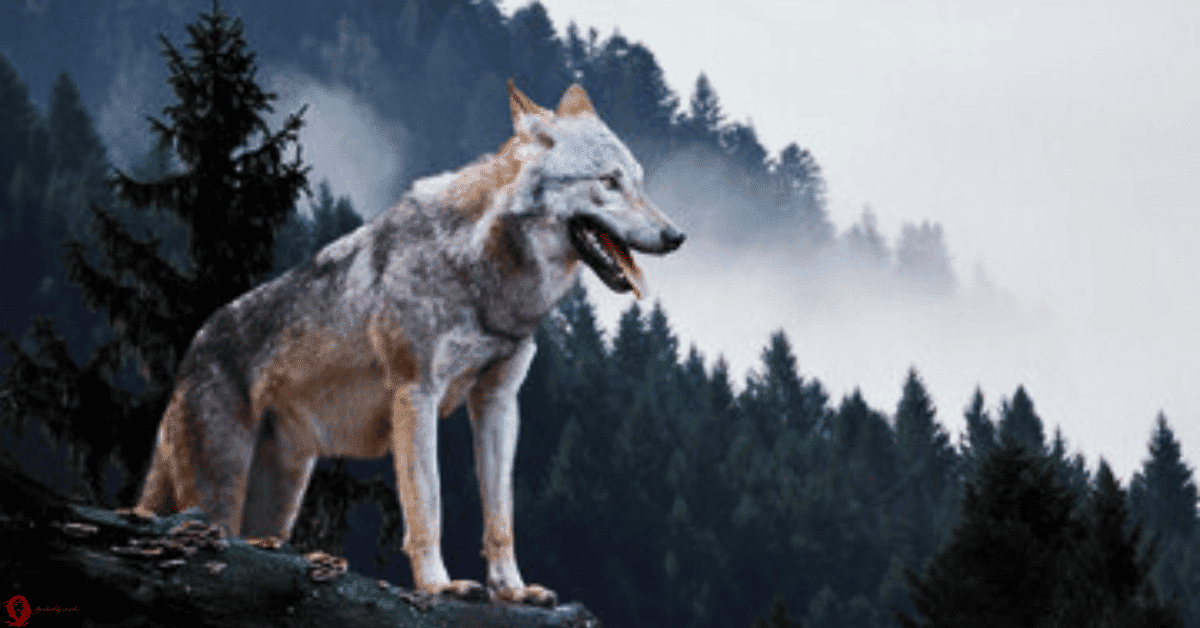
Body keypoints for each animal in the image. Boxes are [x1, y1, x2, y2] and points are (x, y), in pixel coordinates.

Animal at [133, 81, 685, 605]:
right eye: (608, 182)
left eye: (638, 181)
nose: (676, 236)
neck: (482, 275)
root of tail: (192, 351)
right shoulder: (416, 394)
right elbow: (427, 507)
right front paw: (439, 586)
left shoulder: (498, 402)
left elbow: (500, 517)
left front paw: (512, 590)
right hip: (218, 498)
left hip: (278, 503)